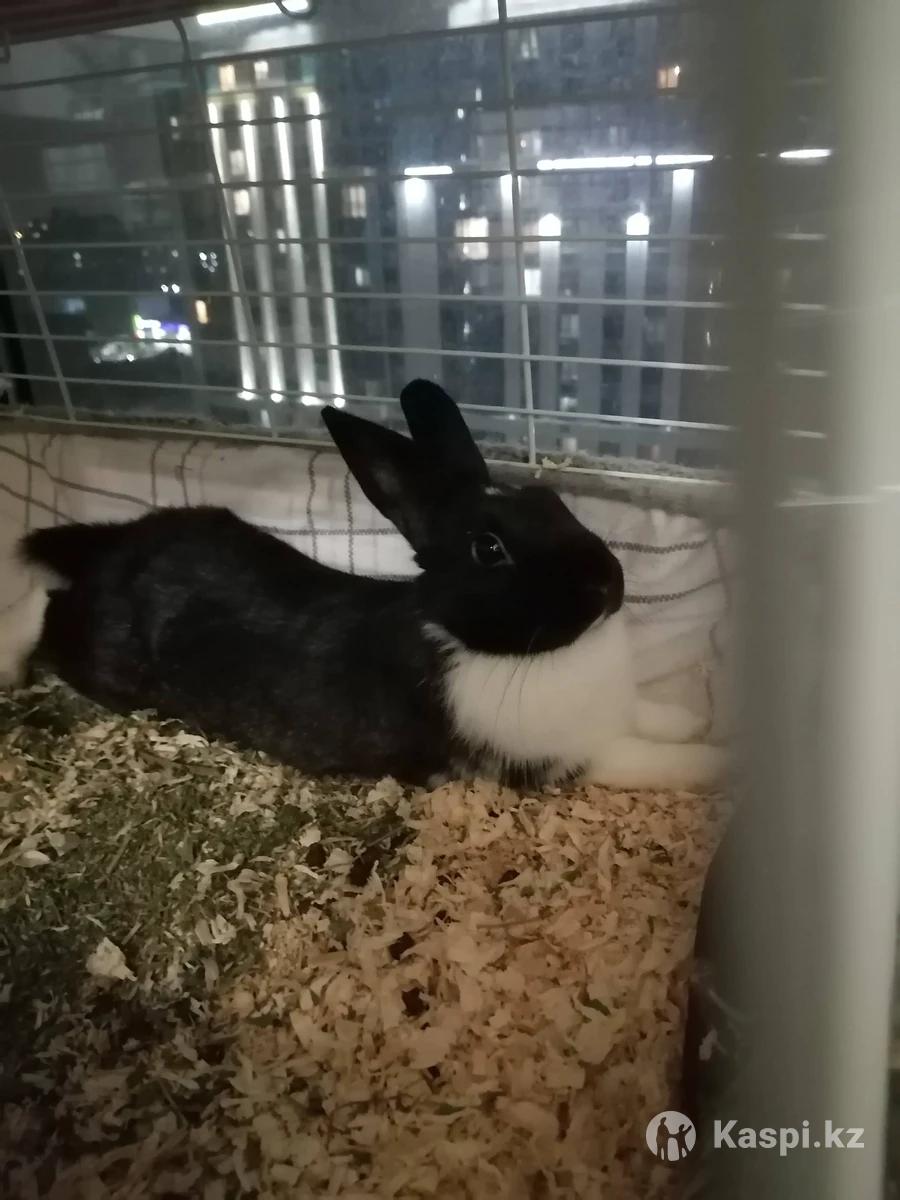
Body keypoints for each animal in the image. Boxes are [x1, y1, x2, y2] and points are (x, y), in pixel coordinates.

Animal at [5, 379, 725, 792]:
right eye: (489, 549)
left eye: (551, 501)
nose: (610, 584)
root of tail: (114, 548)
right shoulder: (577, 760)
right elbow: (653, 762)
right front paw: (720, 766)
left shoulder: (618, 713)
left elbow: (654, 716)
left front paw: (693, 719)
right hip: (102, 661)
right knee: (44, 608)